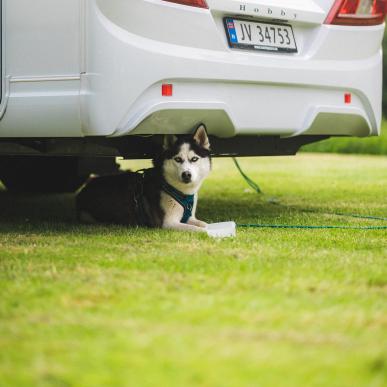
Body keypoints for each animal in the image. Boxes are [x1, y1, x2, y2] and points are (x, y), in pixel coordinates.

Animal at [76, 126, 212, 232]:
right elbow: (196, 229)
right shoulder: (168, 223)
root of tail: (84, 190)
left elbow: (202, 223)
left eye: (194, 159)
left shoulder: (189, 217)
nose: (186, 174)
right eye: (178, 159)